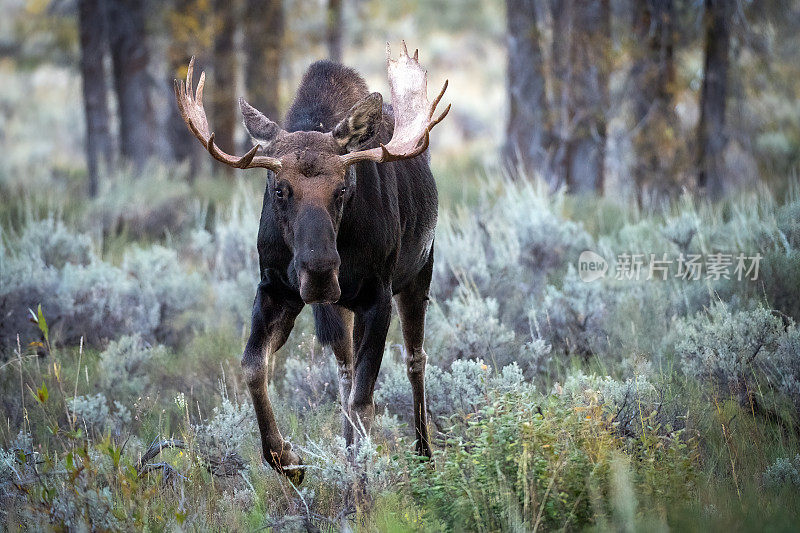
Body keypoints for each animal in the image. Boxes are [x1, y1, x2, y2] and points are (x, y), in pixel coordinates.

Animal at [174, 42, 446, 482]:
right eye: (279, 189)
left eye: (343, 189)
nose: (319, 272)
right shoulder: (274, 287)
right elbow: (253, 367)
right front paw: (286, 458)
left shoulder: (377, 295)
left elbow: (364, 401)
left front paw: (360, 483)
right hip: (341, 308)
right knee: (345, 372)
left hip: (419, 270)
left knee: (414, 360)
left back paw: (424, 455)